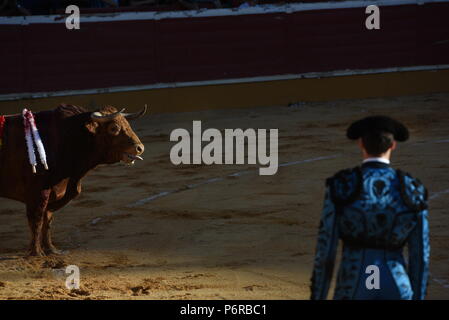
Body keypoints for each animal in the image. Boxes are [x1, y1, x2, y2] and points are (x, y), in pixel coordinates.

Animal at [0, 105, 144, 258]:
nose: (140, 148)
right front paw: (37, 253)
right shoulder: (38, 193)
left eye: (127, 124)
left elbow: (47, 220)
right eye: (113, 128)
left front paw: (51, 249)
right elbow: (37, 221)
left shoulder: (55, 192)